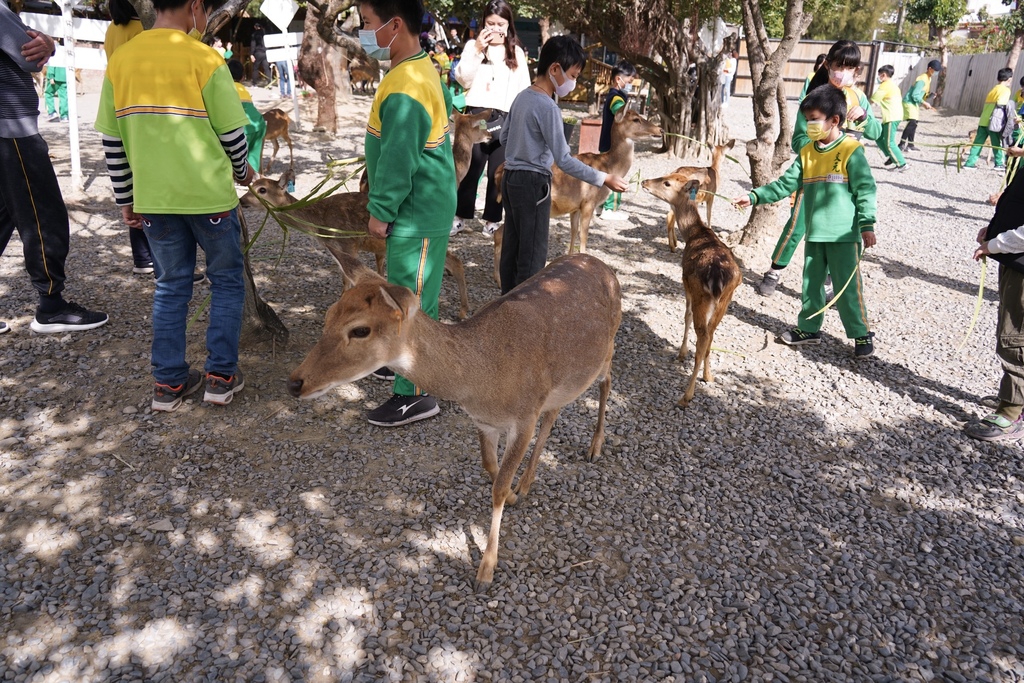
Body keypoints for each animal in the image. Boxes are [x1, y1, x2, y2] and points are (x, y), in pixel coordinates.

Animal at [241, 176, 468, 321]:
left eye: (262, 189)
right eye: (251, 185)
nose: (242, 201)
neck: (319, 223)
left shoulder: (348, 243)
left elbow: (349, 280)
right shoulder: (335, 247)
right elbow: (345, 277)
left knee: (454, 262)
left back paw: (463, 311)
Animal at [288, 250, 622, 589]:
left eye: (360, 330)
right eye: (329, 316)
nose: (295, 383)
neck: (483, 383)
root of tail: (602, 265)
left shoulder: (525, 415)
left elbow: (498, 487)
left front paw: (485, 570)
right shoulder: (485, 421)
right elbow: (490, 467)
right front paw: (515, 494)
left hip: (608, 347)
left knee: (606, 381)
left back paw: (594, 448)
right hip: (564, 380)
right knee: (555, 411)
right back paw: (527, 482)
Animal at [643, 178, 741, 411]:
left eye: (667, 182)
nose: (644, 181)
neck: (693, 233)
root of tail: (719, 276)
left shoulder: (686, 283)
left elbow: (685, 315)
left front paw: (681, 353)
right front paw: (707, 374)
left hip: (700, 294)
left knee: (703, 336)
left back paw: (686, 396)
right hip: (726, 299)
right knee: (711, 334)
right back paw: (708, 375)